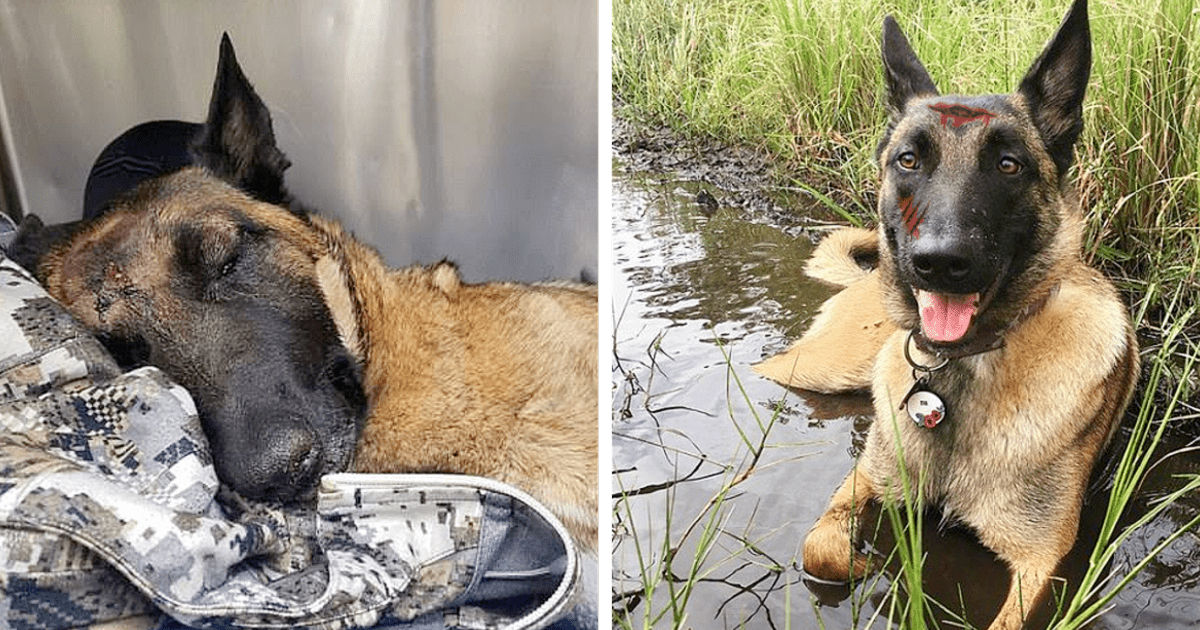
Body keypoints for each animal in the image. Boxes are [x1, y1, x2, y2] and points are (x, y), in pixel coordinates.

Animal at [753, 2, 1137, 624]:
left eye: (1008, 164)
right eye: (908, 160)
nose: (938, 261)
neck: (961, 369)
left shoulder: (1040, 562)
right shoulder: (866, 476)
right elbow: (820, 548)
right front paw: (857, 560)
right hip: (817, 368)